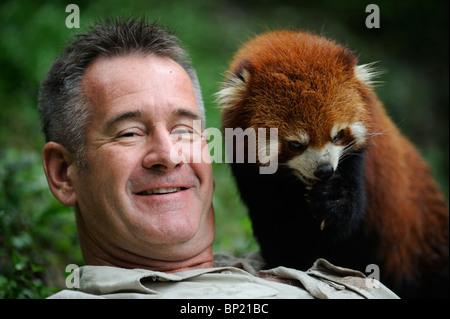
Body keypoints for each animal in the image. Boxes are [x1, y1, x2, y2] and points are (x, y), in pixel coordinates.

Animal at [217, 31, 446, 298]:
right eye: (295, 144)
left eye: (337, 135)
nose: (324, 171)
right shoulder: (254, 181)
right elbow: (276, 227)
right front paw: (286, 261)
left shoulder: (357, 164)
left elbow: (344, 225)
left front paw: (333, 198)